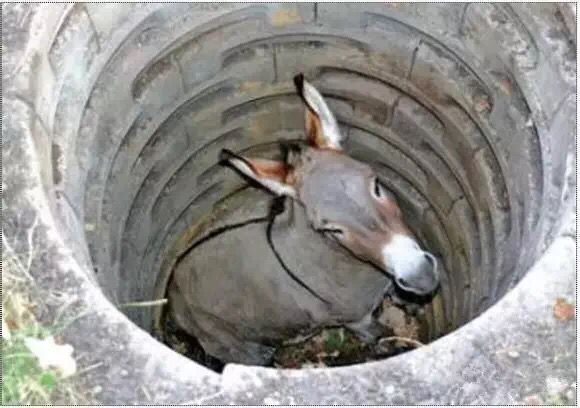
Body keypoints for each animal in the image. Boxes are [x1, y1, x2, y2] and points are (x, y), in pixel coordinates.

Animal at [166, 74, 439, 366]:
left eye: (376, 184)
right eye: (330, 230)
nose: (420, 275)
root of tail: (173, 295)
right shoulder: (358, 321)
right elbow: (379, 334)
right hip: (238, 345)